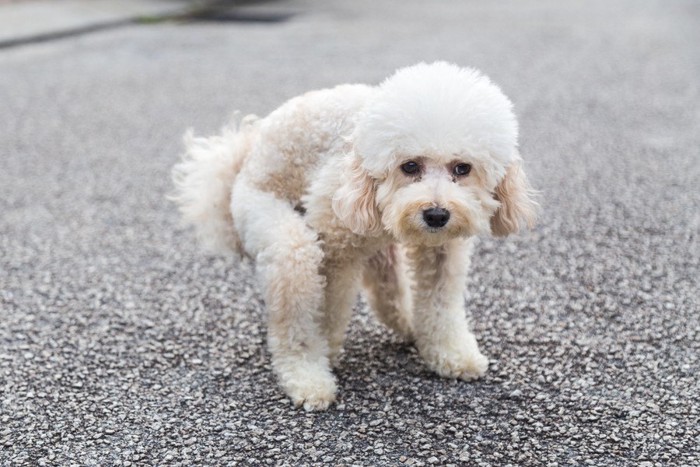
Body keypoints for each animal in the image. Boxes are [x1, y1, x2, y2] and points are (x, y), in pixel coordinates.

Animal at [170, 61, 536, 410]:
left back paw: (409, 326)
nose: (436, 214)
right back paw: (306, 378)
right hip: (269, 223)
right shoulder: (335, 243)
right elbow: (327, 308)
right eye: (409, 166)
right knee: (295, 290)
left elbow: (440, 304)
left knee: (387, 291)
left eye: (462, 168)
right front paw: (325, 351)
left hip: (378, 248)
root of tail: (244, 154)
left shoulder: (443, 251)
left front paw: (451, 354)